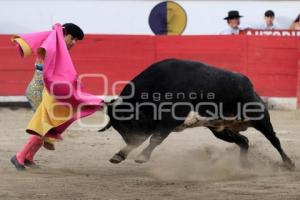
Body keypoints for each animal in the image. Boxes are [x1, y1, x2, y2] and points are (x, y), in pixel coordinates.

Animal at [99, 58, 296, 170]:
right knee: (244, 141)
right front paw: (120, 155)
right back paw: (244, 165)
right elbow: (146, 139)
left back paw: (289, 164)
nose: (130, 140)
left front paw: (141, 157)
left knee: (275, 141)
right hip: (221, 130)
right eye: (118, 128)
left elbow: (156, 138)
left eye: (129, 122)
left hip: (261, 119)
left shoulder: (171, 119)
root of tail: (248, 85)